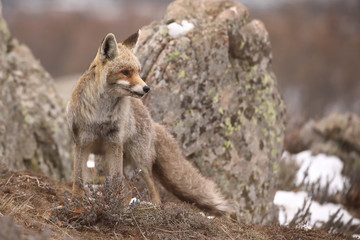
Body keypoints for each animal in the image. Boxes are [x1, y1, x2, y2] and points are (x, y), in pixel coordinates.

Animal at [65, 31, 232, 214]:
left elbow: (116, 183)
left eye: (139, 71)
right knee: (128, 186)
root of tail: (151, 120)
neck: (100, 114)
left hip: (139, 161)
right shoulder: (82, 144)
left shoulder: (114, 143)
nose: (147, 88)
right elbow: (78, 180)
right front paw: (77, 204)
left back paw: (152, 207)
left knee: (151, 188)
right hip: (107, 160)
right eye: (125, 72)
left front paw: (114, 208)